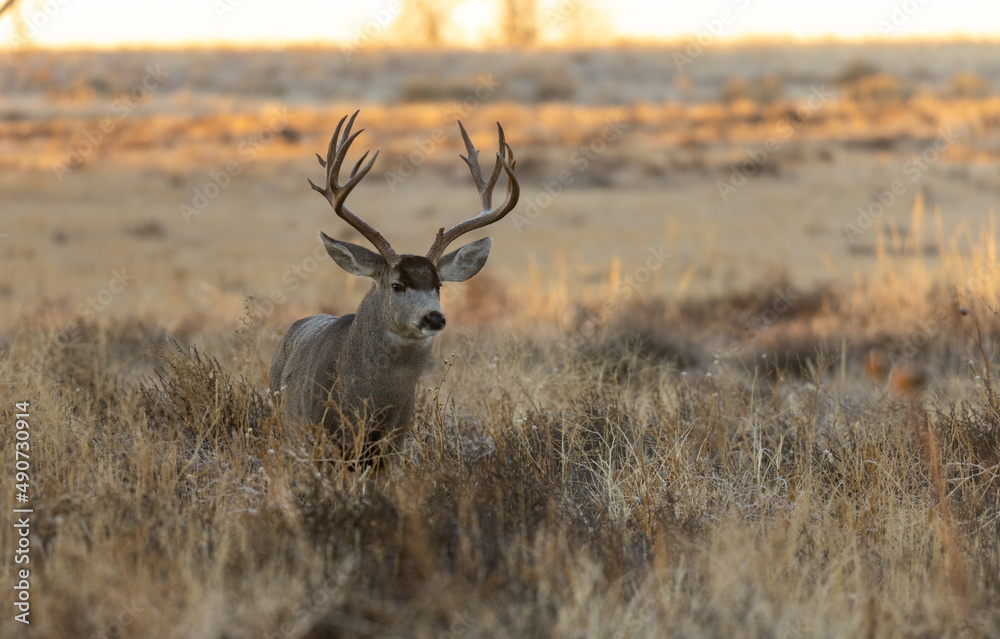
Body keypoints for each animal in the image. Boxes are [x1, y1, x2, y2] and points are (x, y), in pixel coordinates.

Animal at [269, 111, 519, 467]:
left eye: (439, 285)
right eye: (397, 285)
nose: (434, 318)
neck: (366, 404)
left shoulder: (392, 444)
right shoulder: (318, 437)